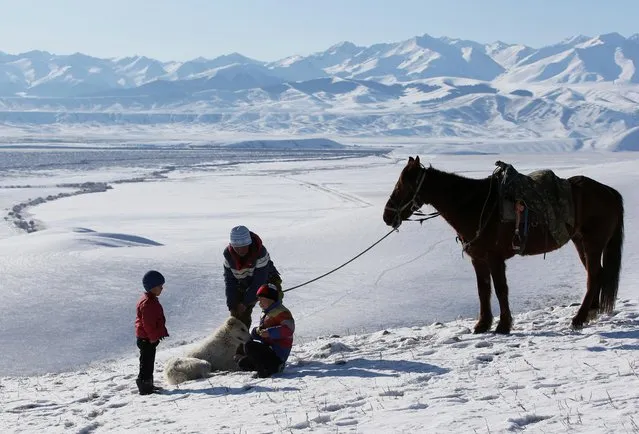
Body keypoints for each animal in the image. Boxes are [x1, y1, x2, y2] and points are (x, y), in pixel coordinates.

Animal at [384, 158, 624, 334]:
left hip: (593, 244)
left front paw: (503, 325)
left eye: (402, 186)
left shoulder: (494, 258)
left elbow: (500, 290)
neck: (474, 205)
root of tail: (609, 192)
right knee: (596, 274)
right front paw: (483, 324)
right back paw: (590, 312)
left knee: (593, 276)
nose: (387, 216)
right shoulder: (478, 259)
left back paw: (579, 318)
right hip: (580, 242)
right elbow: (483, 290)